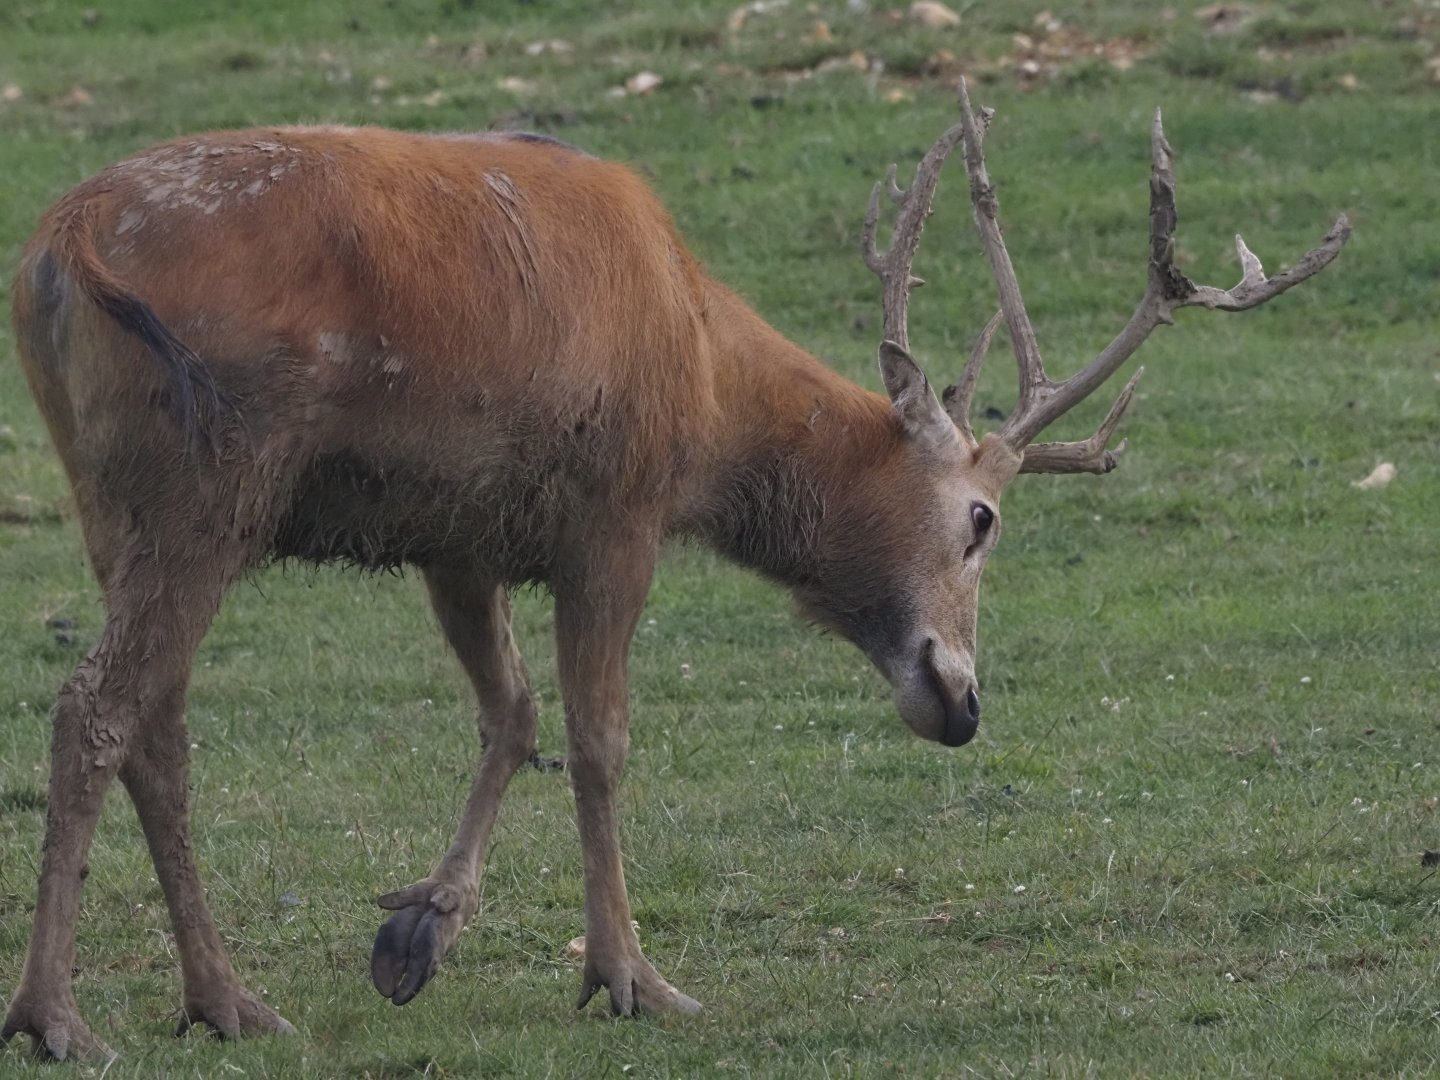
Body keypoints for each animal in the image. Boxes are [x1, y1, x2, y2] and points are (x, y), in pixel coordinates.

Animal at [3, 81, 1346, 1059]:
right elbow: (598, 741)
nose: (962, 701)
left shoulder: (461, 535)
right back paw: (56, 1016)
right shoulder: (614, 516)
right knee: (95, 709)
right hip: (211, 483)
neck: (702, 387)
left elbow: (511, 715)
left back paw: (224, 999)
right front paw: (629, 976)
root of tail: (63, 243)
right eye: (980, 520)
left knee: (160, 728)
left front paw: (417, 933)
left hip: (108, 497)